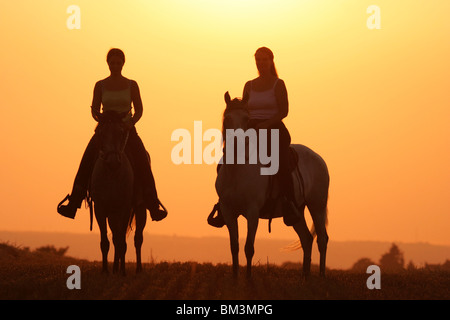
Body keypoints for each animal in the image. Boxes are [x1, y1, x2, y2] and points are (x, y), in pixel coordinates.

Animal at [90, 110, 147, 276]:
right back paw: (115, 268)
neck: (112, 175)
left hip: (140, 208)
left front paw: (123, 271)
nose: (113, 162)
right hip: (112, 214)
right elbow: (106, 241)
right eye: (101, 133)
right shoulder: (100, 208)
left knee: (137, 238)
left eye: (121, 133)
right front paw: (105, 271)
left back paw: (138, 269)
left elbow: (123, 241)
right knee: (115, 237)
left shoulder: (125, 208)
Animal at [216, 92, 328, 278]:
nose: (238, 143)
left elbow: (249, 248)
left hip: (317, 206)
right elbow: (234, 247)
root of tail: (318, 158)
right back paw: (305, 277)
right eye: (227, 119)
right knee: (306, 239)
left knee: (322, 239)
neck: (237, 170)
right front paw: (235, 279)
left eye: (247, 119)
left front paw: (248, 280)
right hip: (297, 211)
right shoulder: (228, 211)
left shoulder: (252, 211)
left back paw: (321, 277)